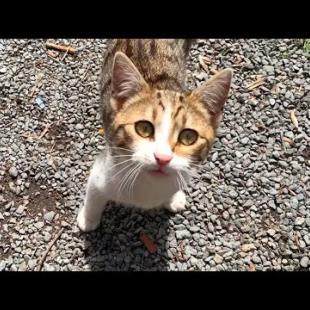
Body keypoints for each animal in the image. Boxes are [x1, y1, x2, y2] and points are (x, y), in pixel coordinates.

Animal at [77, 39, 232, 232]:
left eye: (188, 137)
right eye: (144, 128)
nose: (162, 158)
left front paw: (174, 198)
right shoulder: (103, 172)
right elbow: (94, 197)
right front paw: (87, 220)